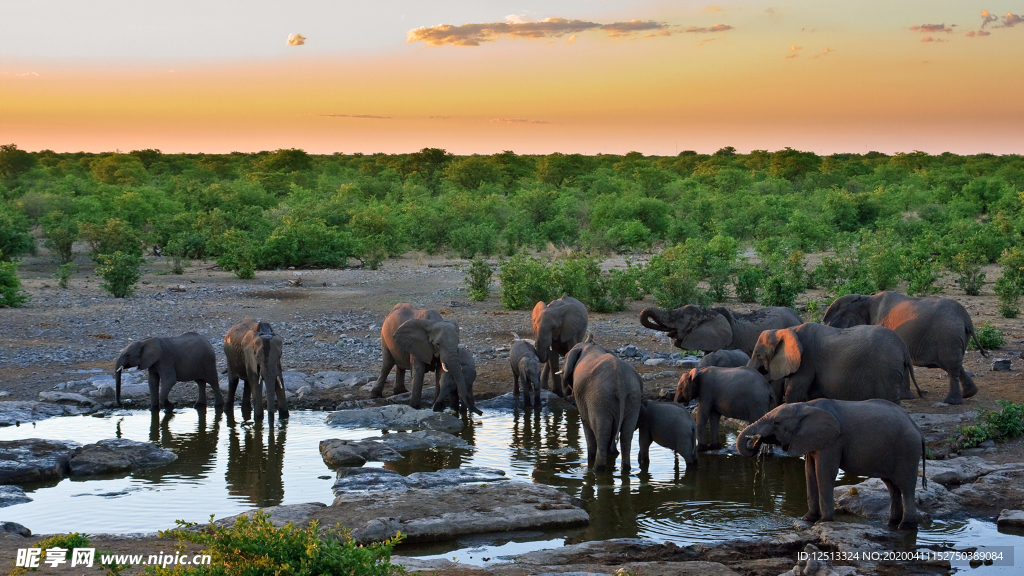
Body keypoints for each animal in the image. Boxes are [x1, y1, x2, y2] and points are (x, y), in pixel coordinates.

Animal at [563, 340, 642, 472]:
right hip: (633, 398)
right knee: (626, 435)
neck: (589, 346)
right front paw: (613, 454)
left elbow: (586, 425)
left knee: (602, 435)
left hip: (599, 401)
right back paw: (625, 469)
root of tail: (621, 384)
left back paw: (596, 470)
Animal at [737, 399, 926, 530]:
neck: (804, 405)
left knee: (905, 486)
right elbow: (809, 472)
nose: (757, 442)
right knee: (892, 487)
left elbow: (823, 472)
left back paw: (905, 526)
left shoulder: (834, 441)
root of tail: (917, 428)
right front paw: (808, 519)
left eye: (776, 423)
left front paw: (823, 521)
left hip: (907, 450)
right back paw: (892, 523)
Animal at [747, 323, 921, 405]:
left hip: (888, 371)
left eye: (758, 355)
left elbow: (794, 392)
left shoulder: (806, 361)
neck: (787, 330)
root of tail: (903, 348)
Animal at [822, 292, 988, 405]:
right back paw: (969, 394)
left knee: (951, 366)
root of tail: (966, 319)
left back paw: (951, 401)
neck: (867, 298)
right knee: (956, 364)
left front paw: (905, 397)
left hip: (948, 334)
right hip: (955, 337)